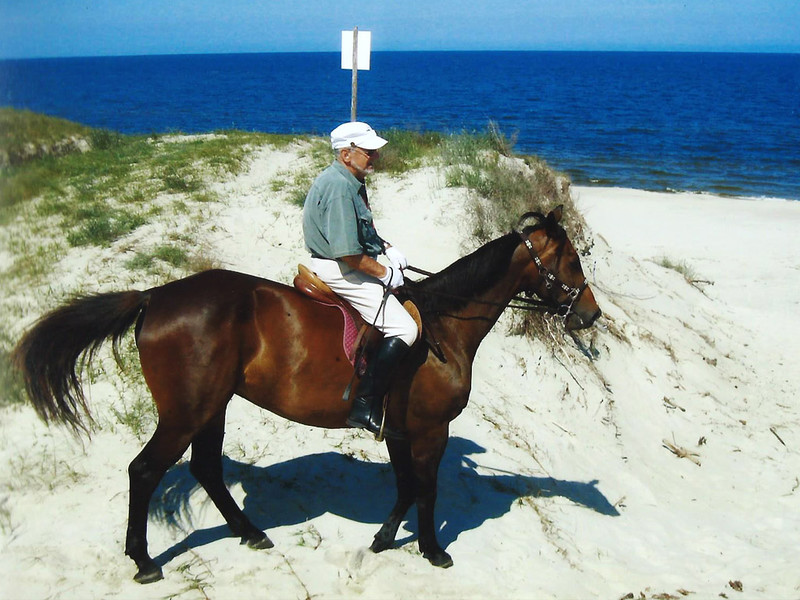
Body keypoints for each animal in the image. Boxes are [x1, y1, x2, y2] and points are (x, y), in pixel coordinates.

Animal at [12, 205, 600, 580]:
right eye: (572, 262)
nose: (591, 315)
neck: (442, 326)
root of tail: (155, 296)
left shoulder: (399, 430)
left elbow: (405, 487)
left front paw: (384, 540)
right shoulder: (431, 429)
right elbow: (427, 491)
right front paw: (433, 552)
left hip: (212, 407)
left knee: (206, 468)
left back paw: (249, 532)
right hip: (185, 412)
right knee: (145, 470)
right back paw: (144, 561)